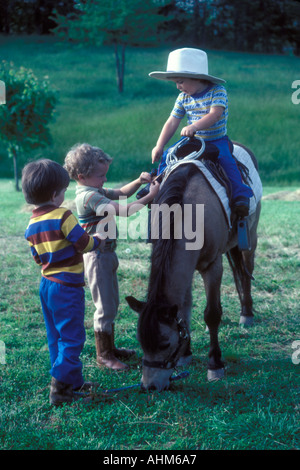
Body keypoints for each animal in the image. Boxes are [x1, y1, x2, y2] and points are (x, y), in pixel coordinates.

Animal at [126, 141, 260, 392]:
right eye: (141, 342)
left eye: (164, 343)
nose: (149, 386)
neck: (187, 215)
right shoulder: (184, 267)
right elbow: (184, 307)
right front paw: (186, 353)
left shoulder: (212, 266)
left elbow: (212, 313)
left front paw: (215, 364)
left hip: (250, 237)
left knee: (246, 272)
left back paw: (246, 313)